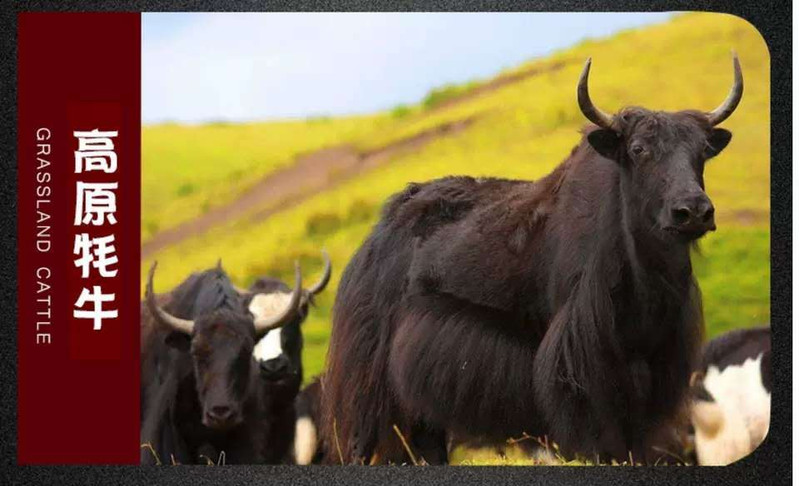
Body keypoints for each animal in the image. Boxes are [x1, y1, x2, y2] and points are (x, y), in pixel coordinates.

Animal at [322, 55, 748, 466]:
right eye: (639, 150)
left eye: (701, 153)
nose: (693, 212)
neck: (644, 271)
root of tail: (374, 238)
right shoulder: (581, 360)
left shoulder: (654, 363)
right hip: (370, 386)